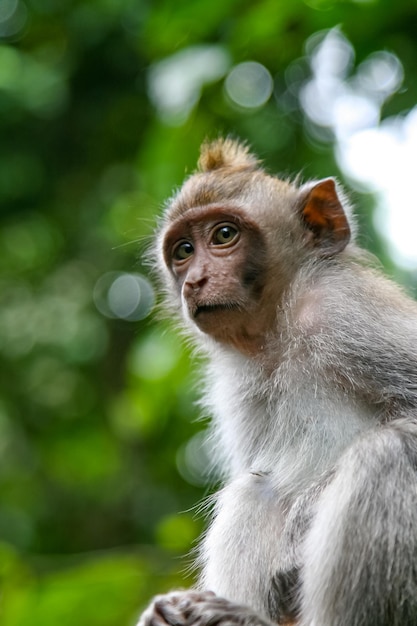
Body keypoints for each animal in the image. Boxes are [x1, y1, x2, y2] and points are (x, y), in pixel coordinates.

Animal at [138, 138, 416, 624]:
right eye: (184, 250)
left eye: (223, 236)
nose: (195, 282)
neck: (277, 329)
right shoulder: (236, 384)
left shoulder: (344, 312)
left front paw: (303, 521)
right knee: (255, 490)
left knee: (388, 452)